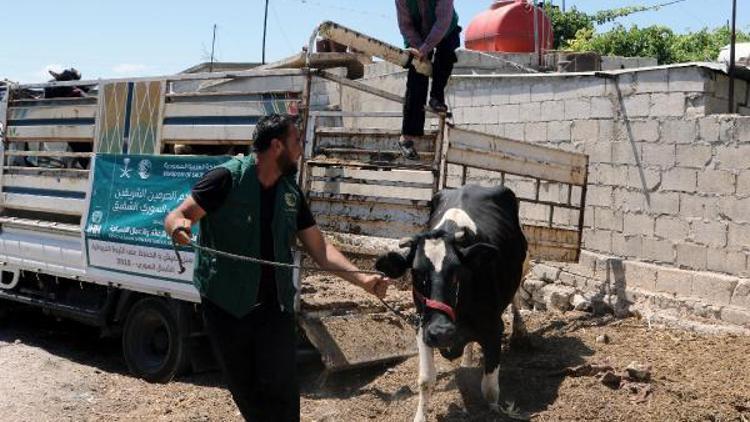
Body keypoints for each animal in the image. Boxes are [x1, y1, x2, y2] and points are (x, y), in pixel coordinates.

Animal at [376, 185, 528, 422]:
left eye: (458, 271)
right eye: (416, 273)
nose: (442, 332)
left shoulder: (494, 328)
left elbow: (490, 389)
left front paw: (495, 411)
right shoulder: (423, 326)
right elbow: (426, 380)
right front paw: (420, 416)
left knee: (517, 296)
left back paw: (520, 332)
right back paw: (467, 359)